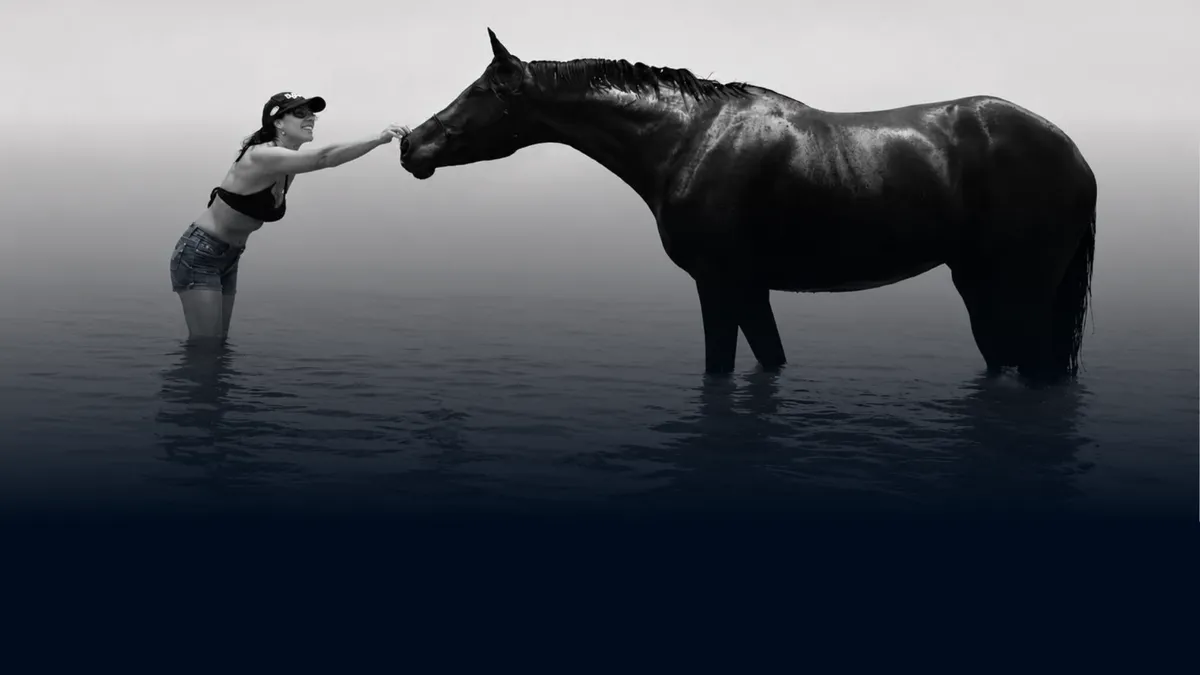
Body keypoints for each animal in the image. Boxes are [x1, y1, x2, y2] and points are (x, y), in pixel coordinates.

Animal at [399, 28, 1098, 384]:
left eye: (482, 91)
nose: (411, 145)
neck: (686, 139)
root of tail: (1074, 154)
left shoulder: (719, 283)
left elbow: (721, 369)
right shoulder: (750, 288)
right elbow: (770, 359)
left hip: (1023, 289)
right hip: (979, 286)